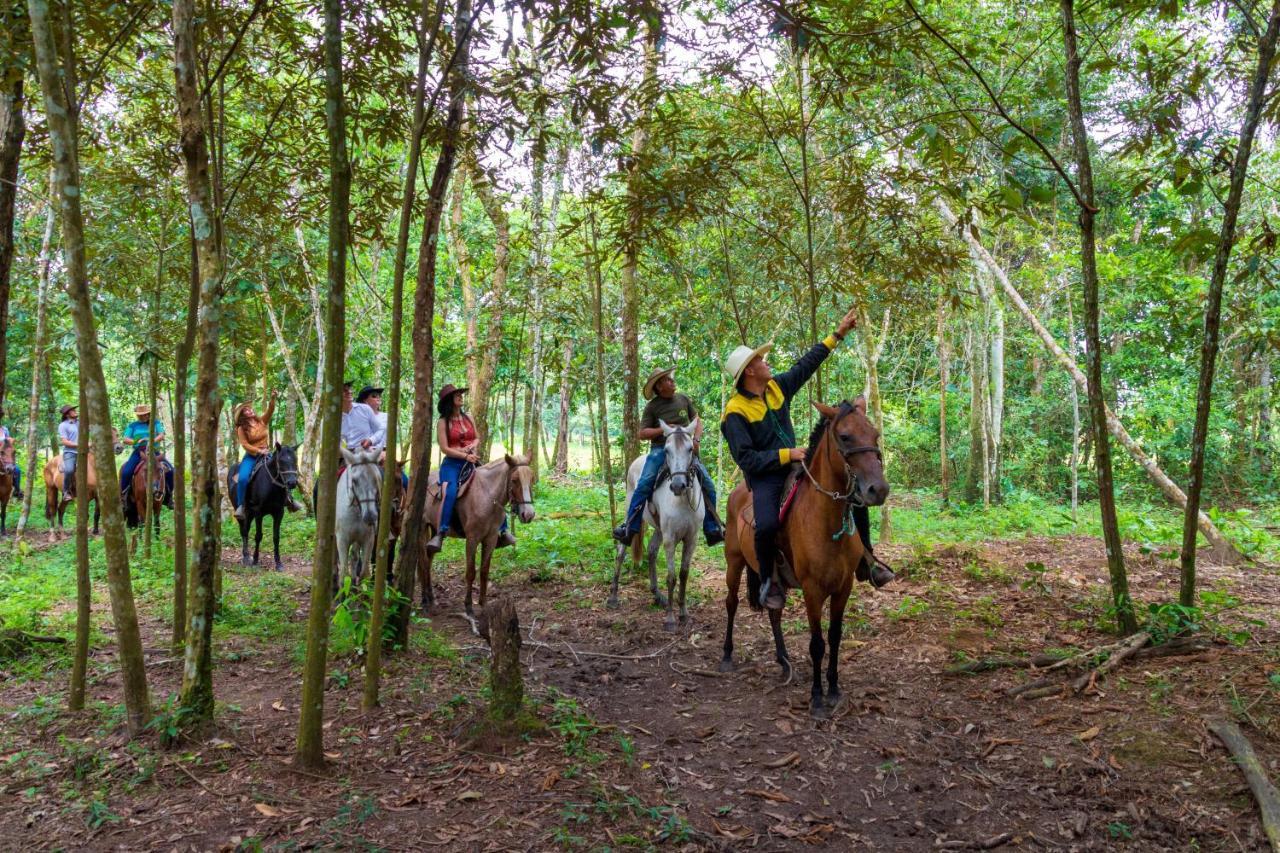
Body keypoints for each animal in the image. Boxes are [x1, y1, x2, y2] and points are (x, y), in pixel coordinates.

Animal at [332, 445, 381, 591]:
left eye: (377, 479)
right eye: (354, 481)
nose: (370, 516)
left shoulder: (368, 539)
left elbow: (364, 572)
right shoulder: (342, 539)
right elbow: (343, 574)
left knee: (354, 556)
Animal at [419, 455, 535, 614]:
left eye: (532, 479)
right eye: (514, 480)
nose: (528, 514)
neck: (486, 496)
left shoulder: (491, 539)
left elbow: (484, 571)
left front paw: (483, 604)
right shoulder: (472, 539)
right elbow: (470, 572)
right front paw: (468, 606)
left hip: (434, 528)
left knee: (429, 558)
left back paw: (431, 597)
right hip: (422, 528)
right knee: (423, 562)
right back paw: (424, 600)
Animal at [606, 417, 701, 630]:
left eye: (690, 449)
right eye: (666, 450)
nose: (678, 485)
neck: (683, 501)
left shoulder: (691, 539)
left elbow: (684, 574)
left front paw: (684, 613)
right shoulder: (670, 539)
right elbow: (671, 577)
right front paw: (670, 619)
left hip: (658, 528)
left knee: (651, 551)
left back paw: (657, 595)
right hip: (631, 514)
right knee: (620, 552)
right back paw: (613, 597)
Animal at [721, 394, 890, 712]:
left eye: (874, 434)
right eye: (845, 437)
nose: (878, 490)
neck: (825, 520)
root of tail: (738, 491)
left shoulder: (843, 587)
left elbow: (835, 637)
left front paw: (833, 688)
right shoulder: (813, 590)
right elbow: (817, 643)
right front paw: (817, 698)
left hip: (775, 580)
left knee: (774, 612)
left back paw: (784, 660)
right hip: (734, 563)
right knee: (731, 603)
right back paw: (726, 654)